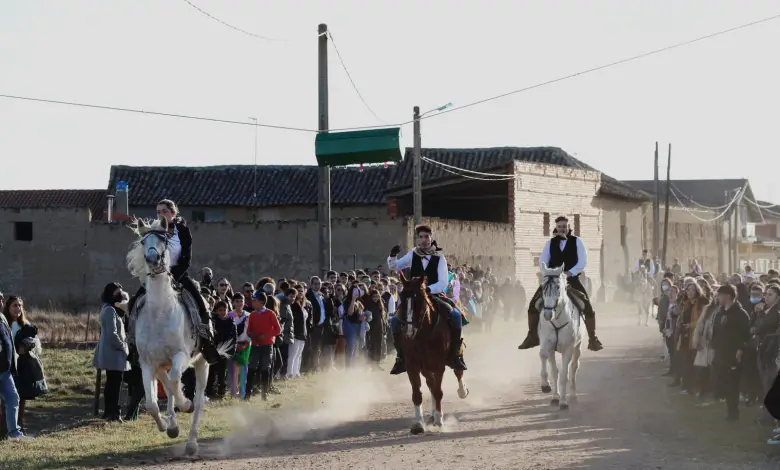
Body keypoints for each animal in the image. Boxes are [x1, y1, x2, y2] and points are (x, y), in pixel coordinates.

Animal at [400, 274, 466, 436]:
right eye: (402, 299)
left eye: (419, 300)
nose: (408, 331)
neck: (422, 335)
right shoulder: (412, 366)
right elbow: (417, 394)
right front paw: (418, 424)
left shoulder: (438, 365)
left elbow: (438, 392)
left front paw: (439, 420)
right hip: (425, 367)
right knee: (430, 383)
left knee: (458, 371)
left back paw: (462, 392)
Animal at [540, 262, 580, 410]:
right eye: (543, 287)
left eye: (558, 287)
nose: (547, 315)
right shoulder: (548, 345)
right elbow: (548, 364)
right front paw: (547, 387)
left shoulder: (568, 348)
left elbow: (564, 376)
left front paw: (563, 402)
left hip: (577, 347)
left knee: (573, 368)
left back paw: (573, 395)